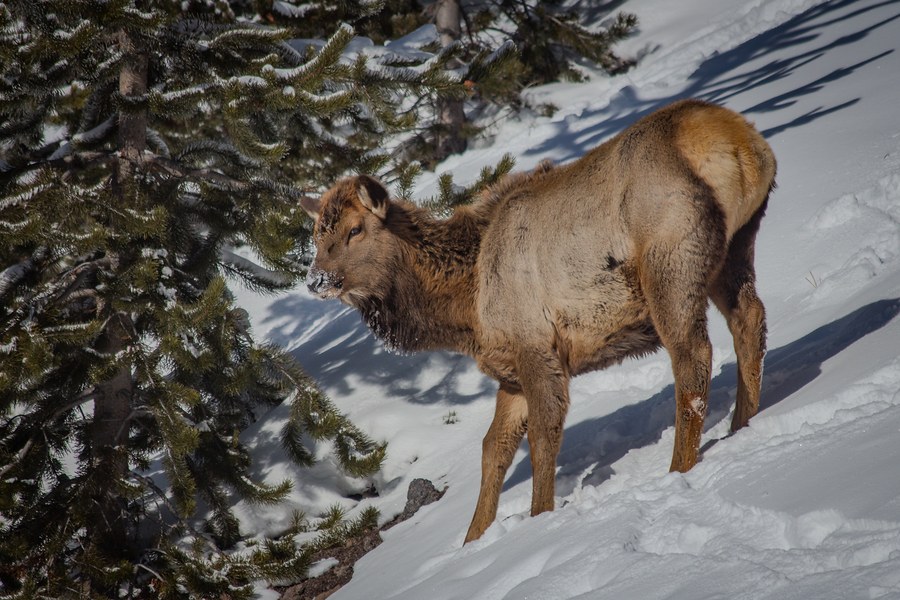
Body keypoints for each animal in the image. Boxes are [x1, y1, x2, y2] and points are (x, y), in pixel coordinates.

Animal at [299, 99, 777, 543]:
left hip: (670, 264)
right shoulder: (509, 371)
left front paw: (538, 517)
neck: (467, 309)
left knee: (692, 359)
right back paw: (743, 423)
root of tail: (741, 141)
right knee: (750, 320)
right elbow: (493, 448)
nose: (315, 279)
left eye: (355, 229)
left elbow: (544, 433)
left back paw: (680, 466)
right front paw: (473, 538)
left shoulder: (535, 344)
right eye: (317, 236)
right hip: (735, 245)